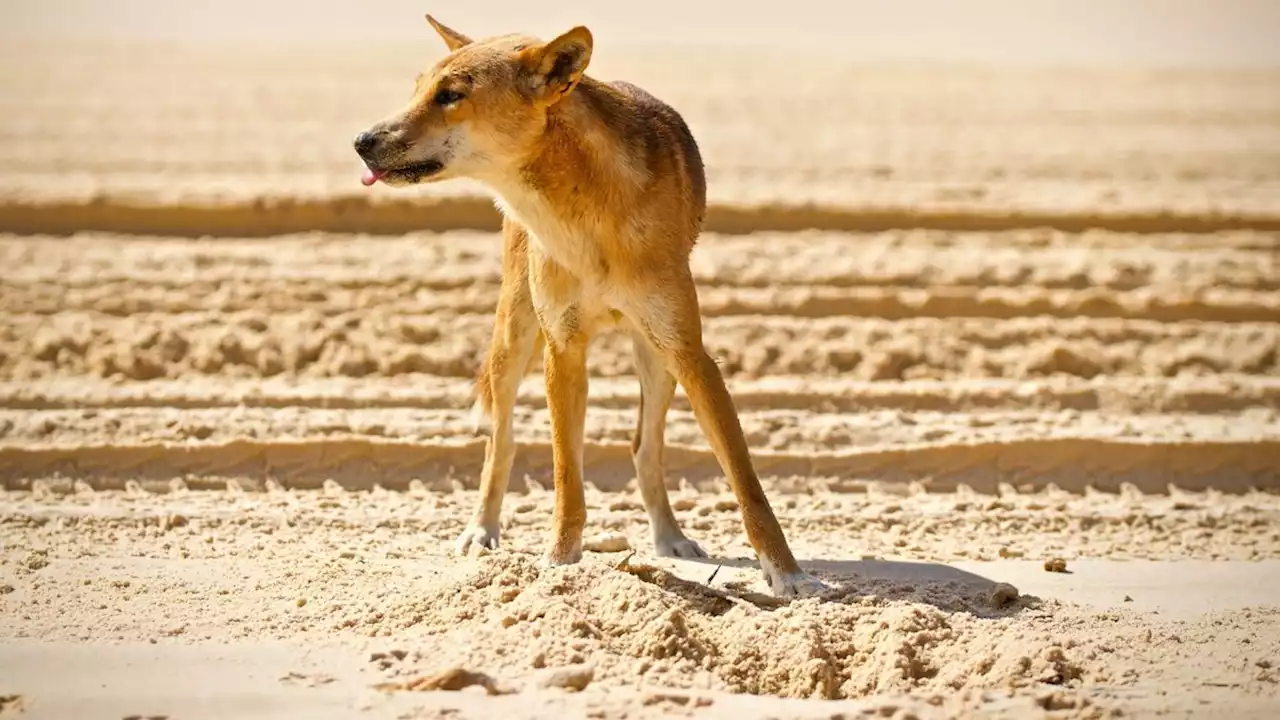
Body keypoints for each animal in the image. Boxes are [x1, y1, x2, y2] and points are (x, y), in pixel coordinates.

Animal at [355, 14, 824, 594]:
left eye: (450, 95)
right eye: (417, 88)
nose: (361, 141)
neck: (583, 220)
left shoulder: (692, 355)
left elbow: (746, 482)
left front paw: (787, 575)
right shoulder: (563, 349)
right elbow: (566, 477)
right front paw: (560, 564)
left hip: (655, 357)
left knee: (644, 449)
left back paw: (670, 538)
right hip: (514, 339)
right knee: (501, 442)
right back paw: (481, 530)